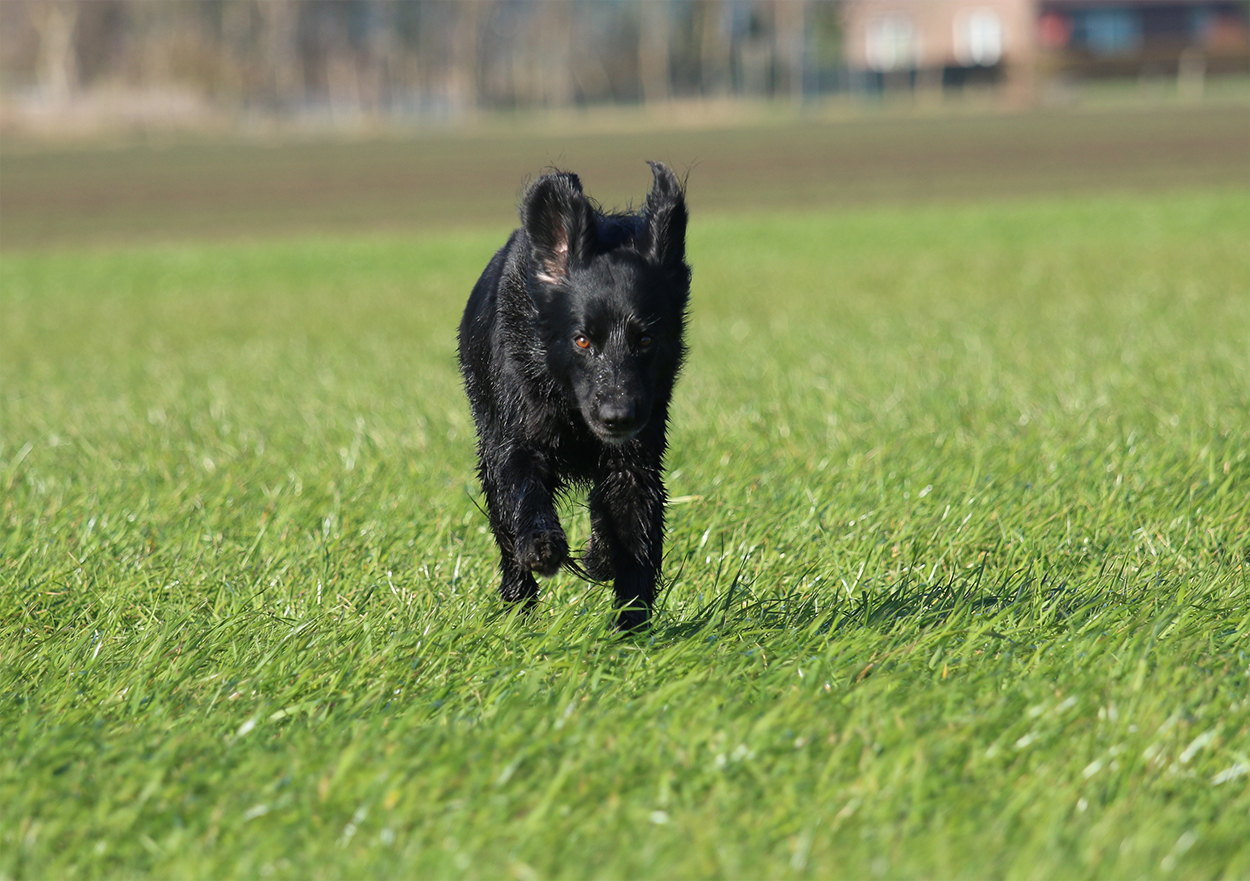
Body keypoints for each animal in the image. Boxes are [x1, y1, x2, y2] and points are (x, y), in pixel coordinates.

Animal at [458, 162, 690, 630]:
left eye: (646, 339)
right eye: (582, 340)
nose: (617, 416)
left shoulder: (635, 458)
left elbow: (634, 537)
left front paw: (631, 628)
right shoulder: (515, 442)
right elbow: (524, 496)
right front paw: (543, 548)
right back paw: (519, 605)